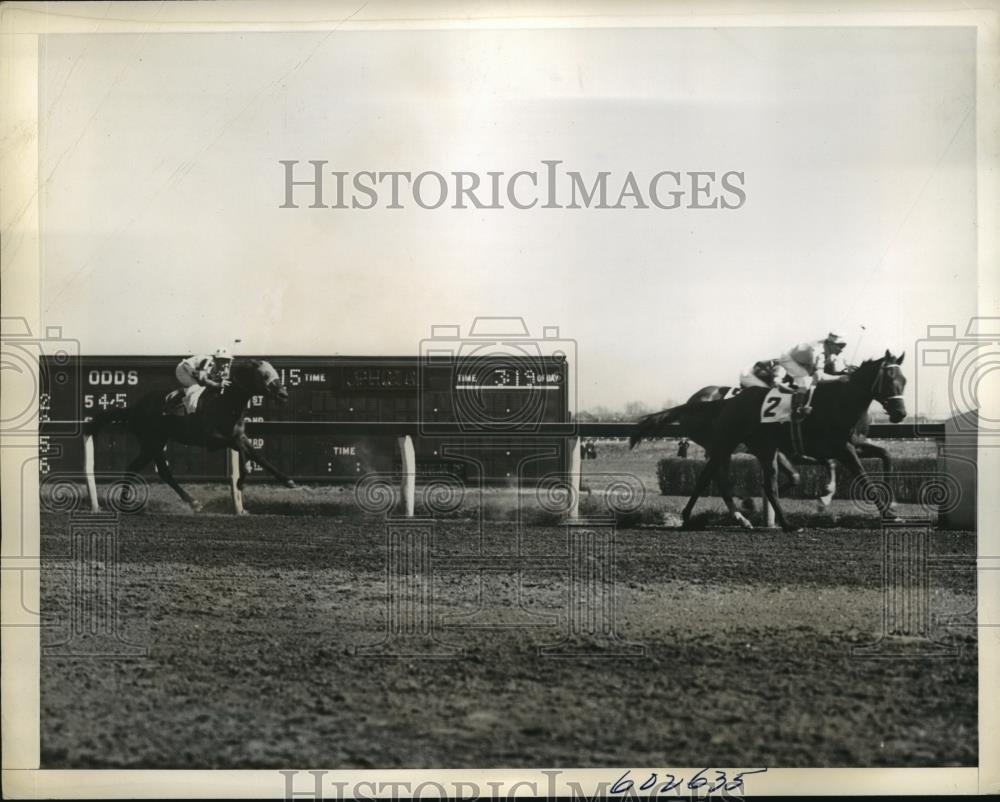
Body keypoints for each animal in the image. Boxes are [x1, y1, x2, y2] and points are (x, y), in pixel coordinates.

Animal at [83, 358, 294, 512]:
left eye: (276, 372)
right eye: (264, 375)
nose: (283, 394)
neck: (225, 402)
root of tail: (134, 408)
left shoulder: (239, 436)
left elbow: (258, 456)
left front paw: (287, 480)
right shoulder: (212, 440)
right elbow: (241, 449)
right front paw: (242, 479)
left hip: (154, 443)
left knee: (141, 468)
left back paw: (128, 501)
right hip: (152, 442)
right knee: (157, 470)